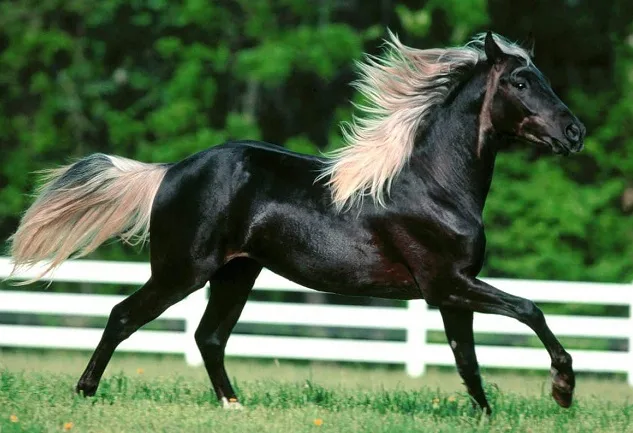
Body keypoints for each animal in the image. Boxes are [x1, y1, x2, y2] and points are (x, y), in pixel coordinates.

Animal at [7, 32, 584, 414]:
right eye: (521, 81)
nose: (575, 133)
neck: (434, 185)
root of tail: (170, 172)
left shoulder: (451, 291)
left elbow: (467, 360)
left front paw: (486, 416)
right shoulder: (447, 283)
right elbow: (529, 309)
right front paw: (562, 390)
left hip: (236, 273)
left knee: (208, 337)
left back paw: (234, 405)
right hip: (182, 272)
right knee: (124, 315)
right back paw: (85, 393)